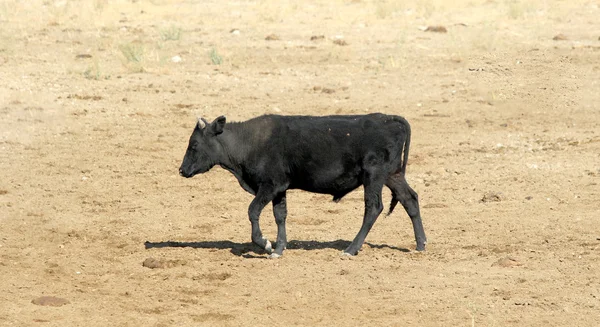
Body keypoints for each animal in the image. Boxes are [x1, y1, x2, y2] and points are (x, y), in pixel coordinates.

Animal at [178, 114, 426, 258]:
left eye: (194, 144)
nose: (182, 170)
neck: (249, 142)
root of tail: (390, 119)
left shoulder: (269, 185)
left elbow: (253, 211)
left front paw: (265, 244)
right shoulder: (280, 189)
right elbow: (280, 215)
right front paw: (279, 248)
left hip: (373, 176)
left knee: (373, 208)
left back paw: (351, 249)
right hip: (393, 175)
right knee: (410, 199)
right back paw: (421, 244)